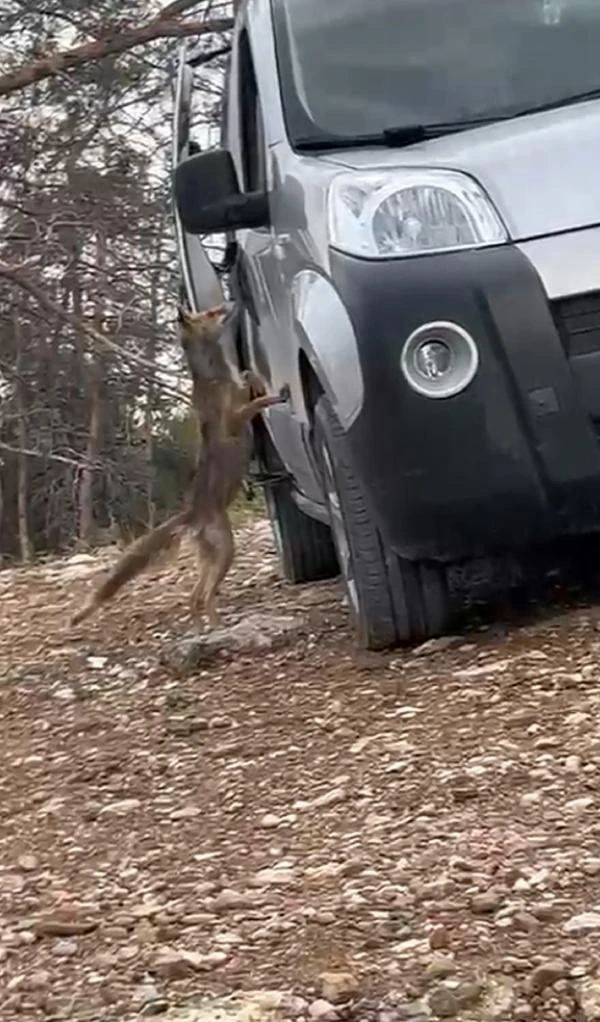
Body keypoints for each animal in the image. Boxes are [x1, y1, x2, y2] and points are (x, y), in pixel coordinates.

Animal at [71, 298, 288, 625]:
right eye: (211, 312)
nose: (232, 301)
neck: (217, 376)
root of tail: (192, 514)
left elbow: (250, 376)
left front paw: (258, 381)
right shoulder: (234, 419)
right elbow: (256, 402)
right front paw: (277, 395)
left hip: (212, 556)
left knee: (194, 598)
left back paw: (204, 629)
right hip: (226, 550)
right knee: (203, 596)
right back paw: (214, 626)